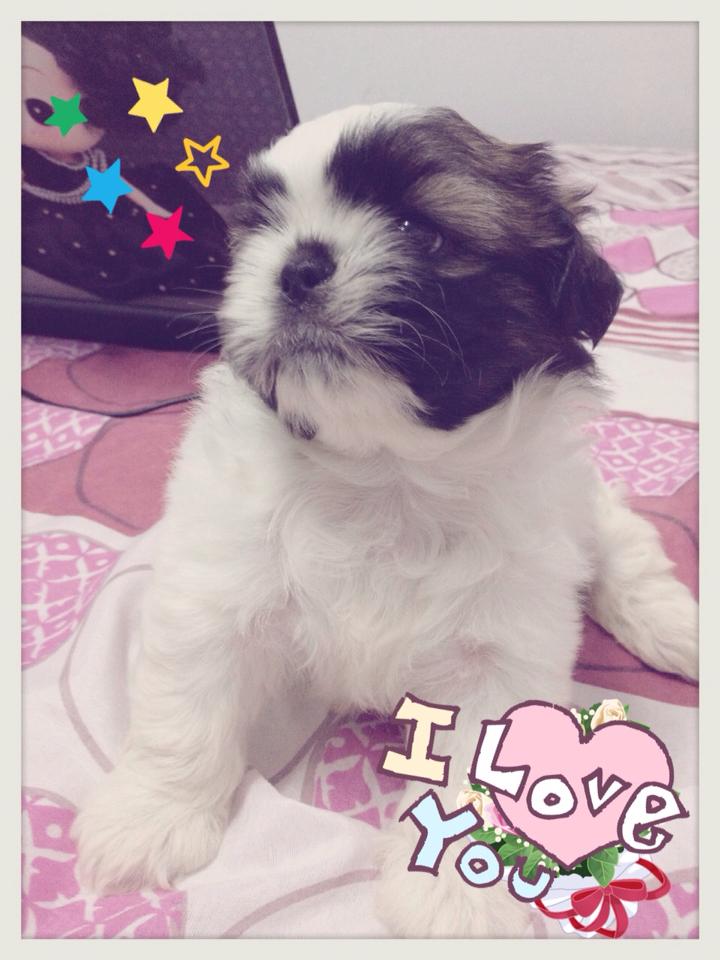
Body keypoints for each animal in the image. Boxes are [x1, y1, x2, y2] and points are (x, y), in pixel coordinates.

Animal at [73, 104, 698, 937]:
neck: (382, 474)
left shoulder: (504, 646)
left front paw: (457, 894)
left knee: (623, 543)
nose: (298, 265)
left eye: (419, 229)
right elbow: (185, 710)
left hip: (582, 509)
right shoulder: (214, 594)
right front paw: (148, 817)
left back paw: (673, 627)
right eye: (262, 228)